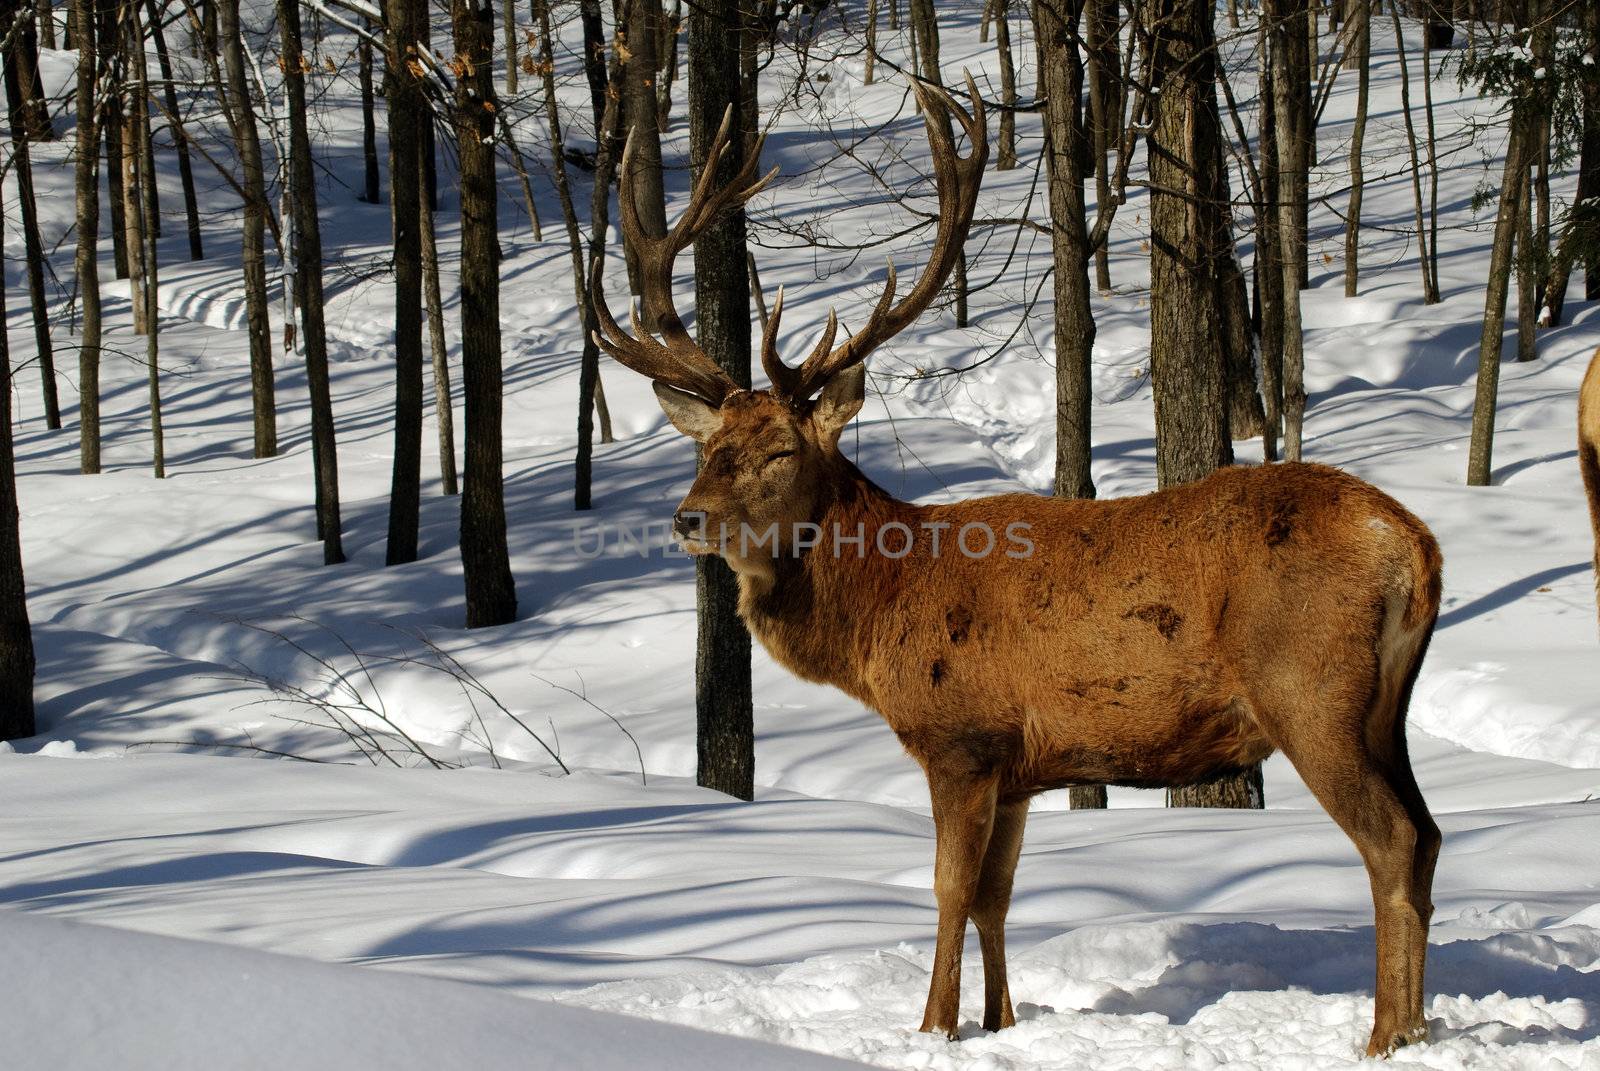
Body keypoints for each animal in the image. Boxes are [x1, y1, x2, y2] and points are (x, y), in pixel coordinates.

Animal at [595, 79, 1446, 1056]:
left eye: (779, 449)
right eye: (708, 447)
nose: (688, 516)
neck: (882, 610)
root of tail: (1413, 543)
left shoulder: (960, 733)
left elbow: (950, 889)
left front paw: (932, 1027)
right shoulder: (1021, 762)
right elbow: (997, 897)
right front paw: (998, 1022)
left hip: (1311, 687)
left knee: (1389, 838)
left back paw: (1386, 1036)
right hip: (1386, 708)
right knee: (1427, 835)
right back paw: (1419, 1027)